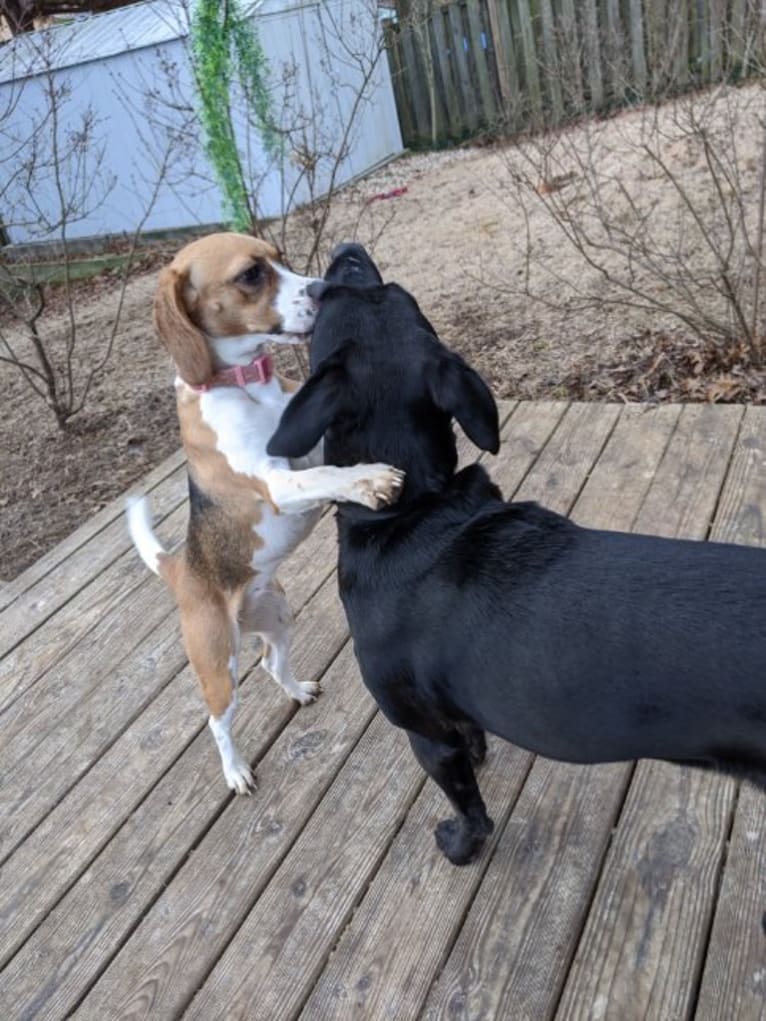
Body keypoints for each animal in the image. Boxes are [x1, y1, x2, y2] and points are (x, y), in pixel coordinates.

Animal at [271, 242, 766, 865]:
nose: (348, 251)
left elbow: (470, 807)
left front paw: (459, 846)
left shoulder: (425, 735)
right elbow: (473, 738)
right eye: (401, 295)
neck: (415, 506)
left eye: (338, 296)